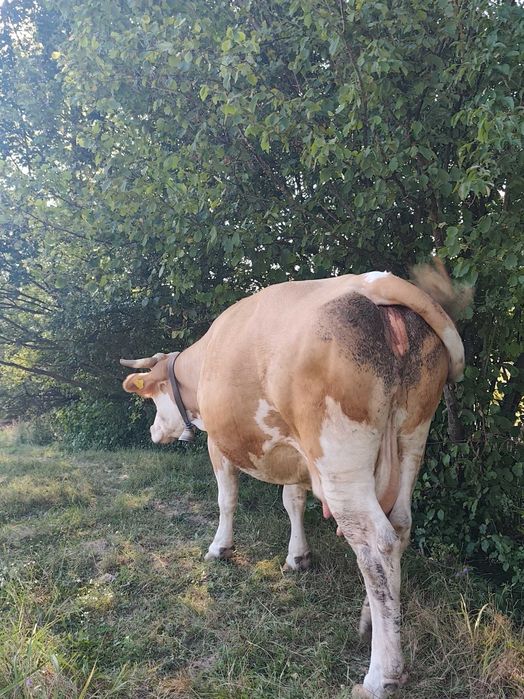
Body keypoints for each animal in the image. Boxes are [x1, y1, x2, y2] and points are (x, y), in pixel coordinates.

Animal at [120, 264, 466, 699]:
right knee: (400, 527)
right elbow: (293, 501)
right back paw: (373, 620)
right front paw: (297, 557)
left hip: (340, 460)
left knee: (377, 542)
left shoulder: (219, 444)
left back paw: (381, 674)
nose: (153, 432)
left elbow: (226, 500)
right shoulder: (296, 455)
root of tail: (375, 282)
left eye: (152, 398)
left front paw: (220, 547)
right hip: (412, 438)